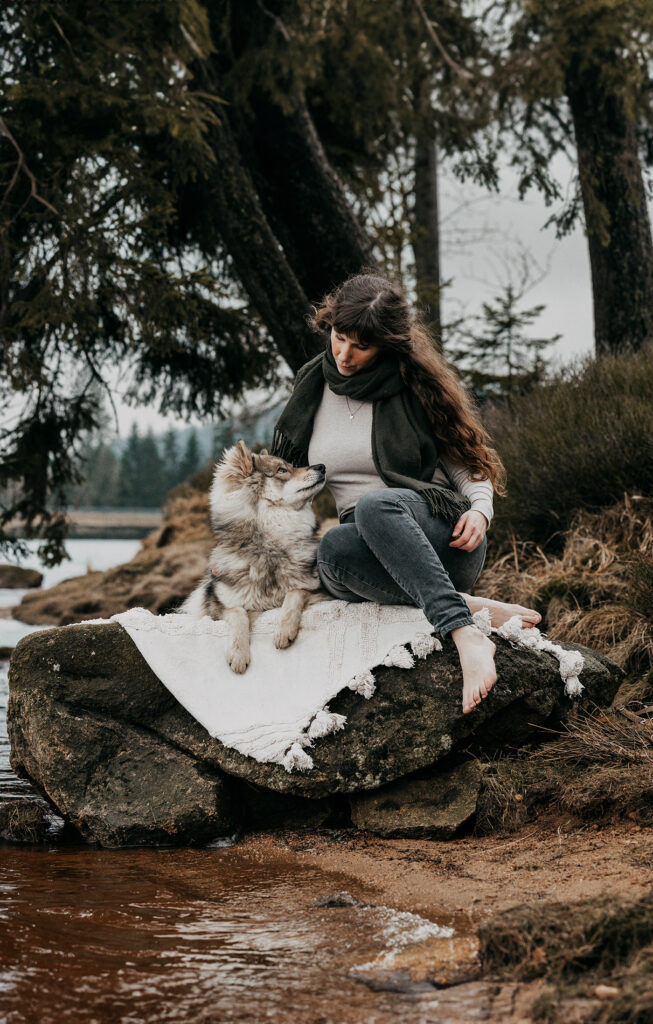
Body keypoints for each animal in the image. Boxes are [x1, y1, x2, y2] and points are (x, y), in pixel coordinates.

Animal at [180, 438, 329, 671]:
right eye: (282, 470)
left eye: (291, 465)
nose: (321, 467)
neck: (267, 549)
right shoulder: (219, 608)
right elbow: (239, 614)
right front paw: (238, 654)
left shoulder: (318, 591)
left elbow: (295, 593)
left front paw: (284, 630)